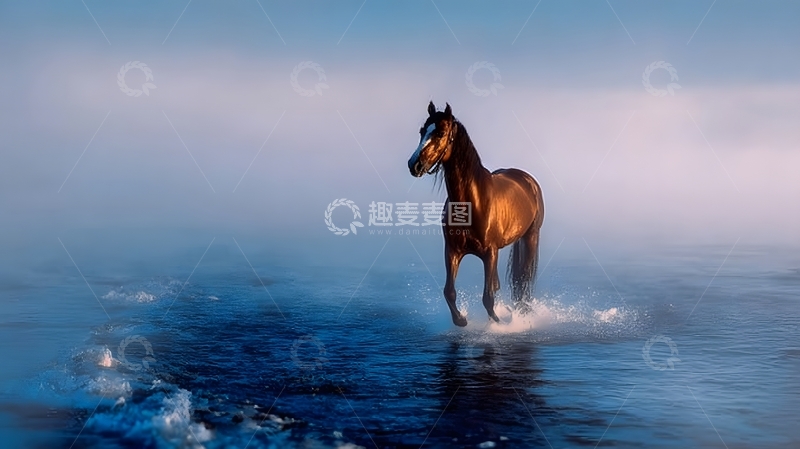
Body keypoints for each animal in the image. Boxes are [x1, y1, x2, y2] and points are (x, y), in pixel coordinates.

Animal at [407, 102, 544, 327]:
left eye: (441, 133)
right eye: (421, 131)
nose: (414, 164)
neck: (472, 203)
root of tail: (527, 180)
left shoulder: (490, 253)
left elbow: (488, 297)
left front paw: (499, 323)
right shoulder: (452, 251)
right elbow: (449, 292)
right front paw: (461, 320)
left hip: (530, 237)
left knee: (523, 278)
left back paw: (522, 312)